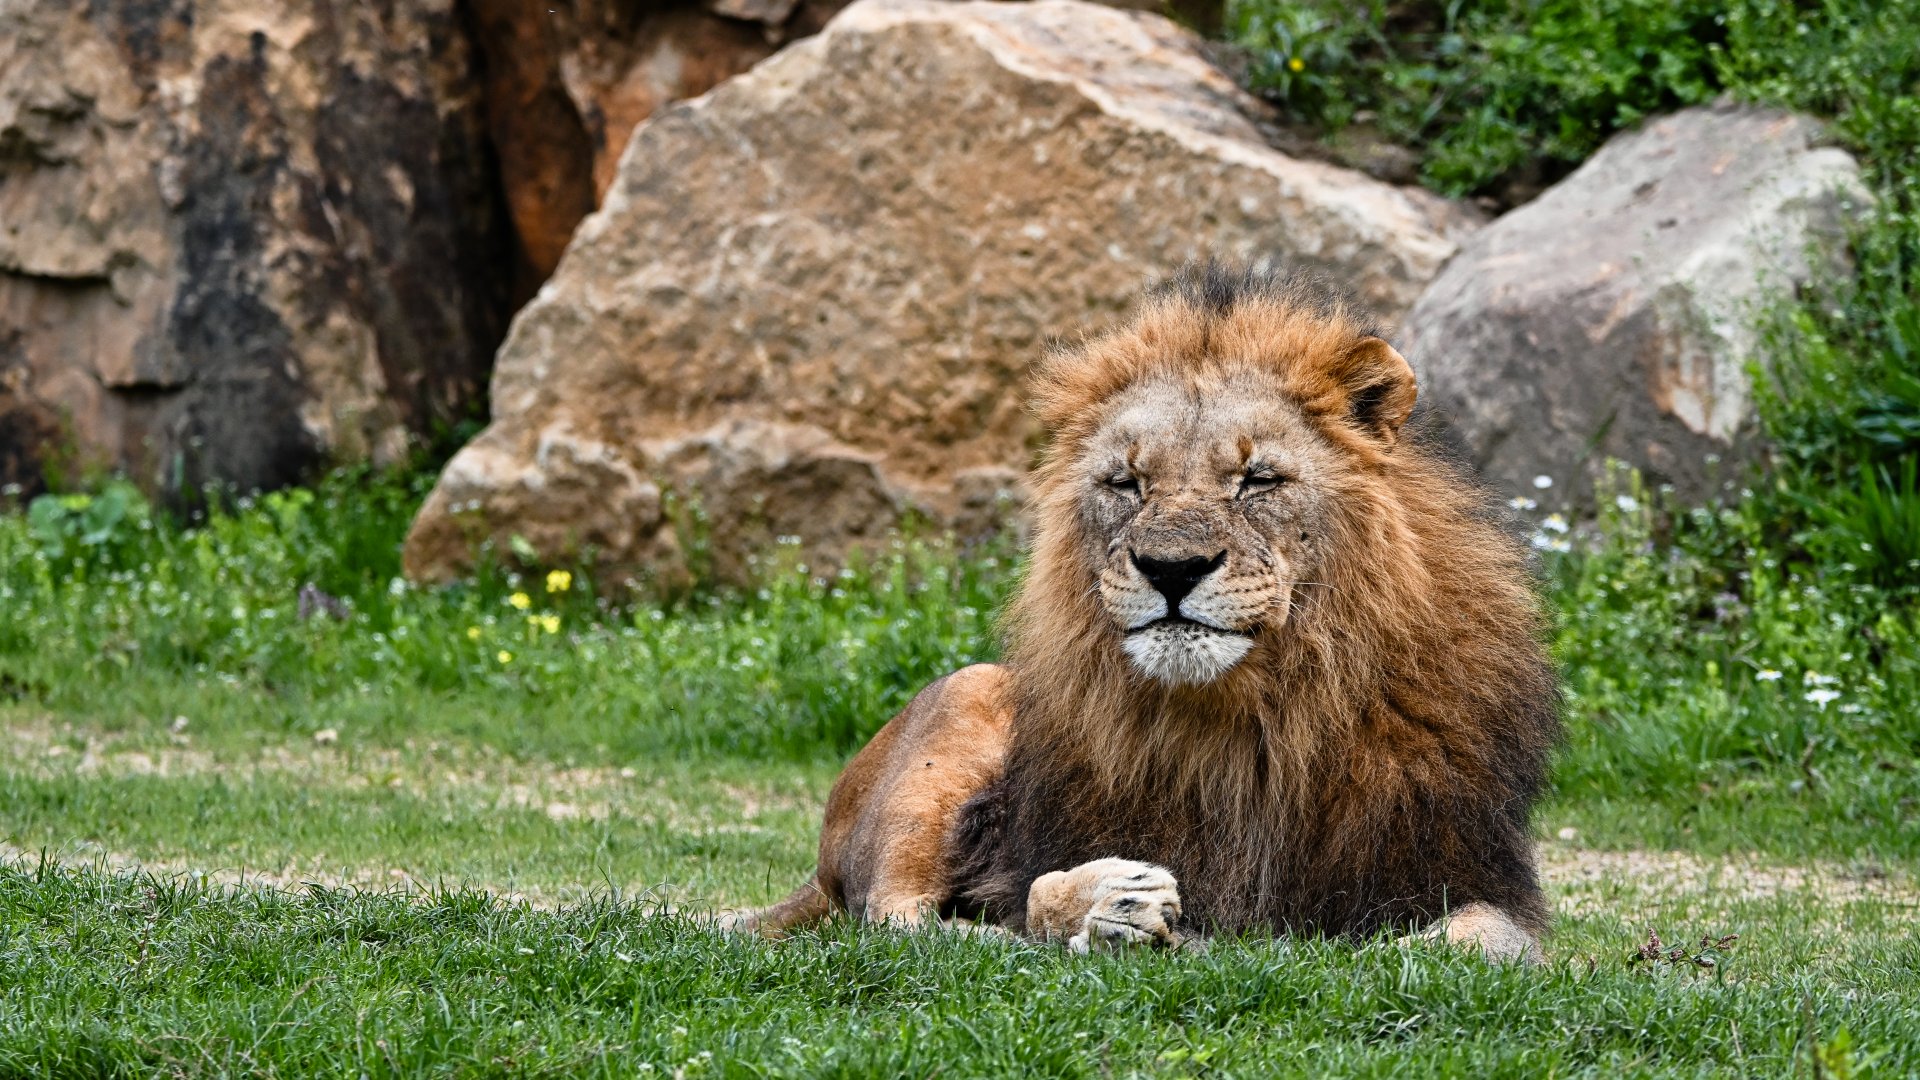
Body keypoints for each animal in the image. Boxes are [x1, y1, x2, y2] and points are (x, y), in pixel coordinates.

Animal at [726, 264, 1560, 962]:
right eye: (1126, 483)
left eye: (1257, 479)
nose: (1173, 568)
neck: (1244, 724)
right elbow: (1023, 893)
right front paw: (1109, 905)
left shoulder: (1458, 867)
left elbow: (1476, 941)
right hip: (965, 697)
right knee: (897, 919)